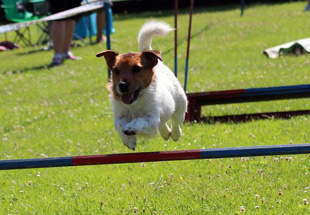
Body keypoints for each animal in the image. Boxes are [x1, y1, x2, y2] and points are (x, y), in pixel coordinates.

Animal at [97, 21, 186, 150]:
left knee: (176, 121)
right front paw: (129, 140)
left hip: (180, 104)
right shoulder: (119, 115)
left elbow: (139, 120)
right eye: (116, 70)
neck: (134, 102)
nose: (122, 85)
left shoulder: (152, 118)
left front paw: (130, 128)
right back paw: (165, 134)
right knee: (163, 124)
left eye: (136, 69)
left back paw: (175, 134)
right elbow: (119, 123)